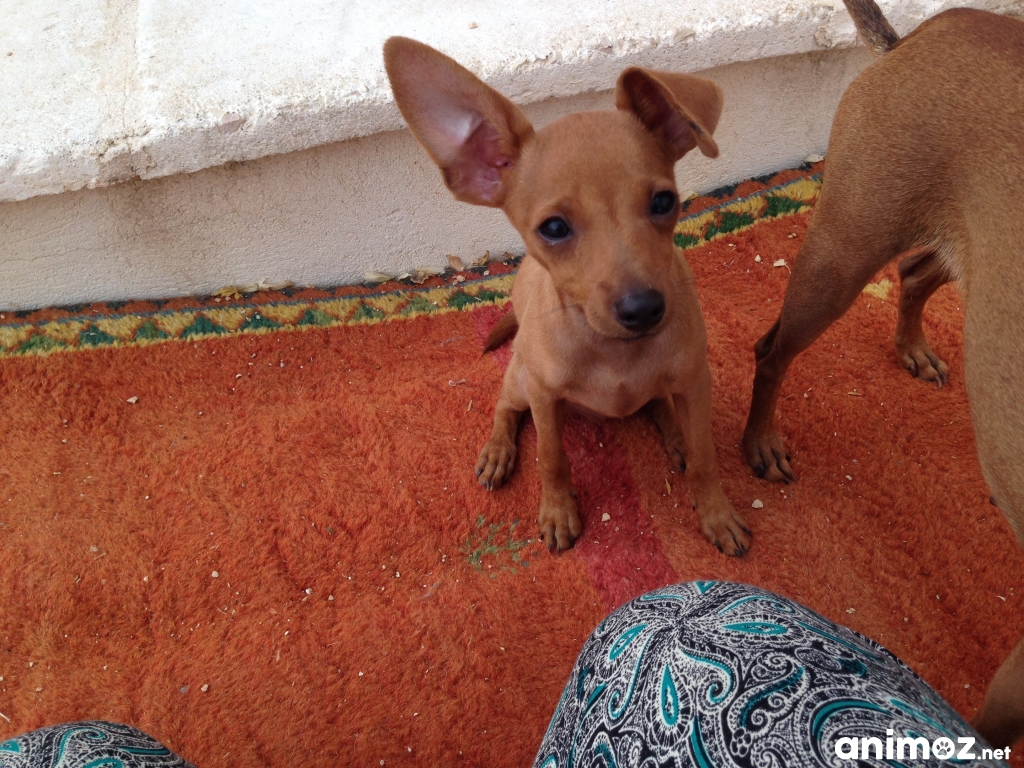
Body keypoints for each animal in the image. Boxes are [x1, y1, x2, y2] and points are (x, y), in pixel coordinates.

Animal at [384, 37, 750, 556]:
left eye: (664, 202)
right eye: (553, 228)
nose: (644, 309)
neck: (612, 351)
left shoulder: (696, 382)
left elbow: (705, 458)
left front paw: (716, 513)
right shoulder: (544, 396)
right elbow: (551, 458)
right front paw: (558, 511)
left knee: (659, 403)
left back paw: (674, 435)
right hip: (521, 379)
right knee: (505, 408)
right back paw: (498, 451)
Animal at [741, 0, 1024, 746]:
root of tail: (927, 34)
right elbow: (985, 730)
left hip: (967, 264)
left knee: (917, 271)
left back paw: (913, 347)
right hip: (843, 253)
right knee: (771, 351)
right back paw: (760, 442)